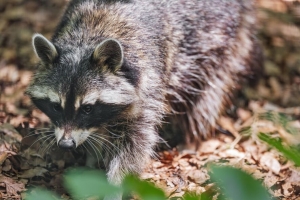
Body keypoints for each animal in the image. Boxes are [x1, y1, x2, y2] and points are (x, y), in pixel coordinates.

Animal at [26, 0, 260, 197]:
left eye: (87, 108)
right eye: (56, 106)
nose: (66, 144)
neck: (88, 37)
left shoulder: (148, 87)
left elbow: (134, 145)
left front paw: (115, 186)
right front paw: (91, 158)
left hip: (216, 39)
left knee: (208, 94)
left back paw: (193, 136)